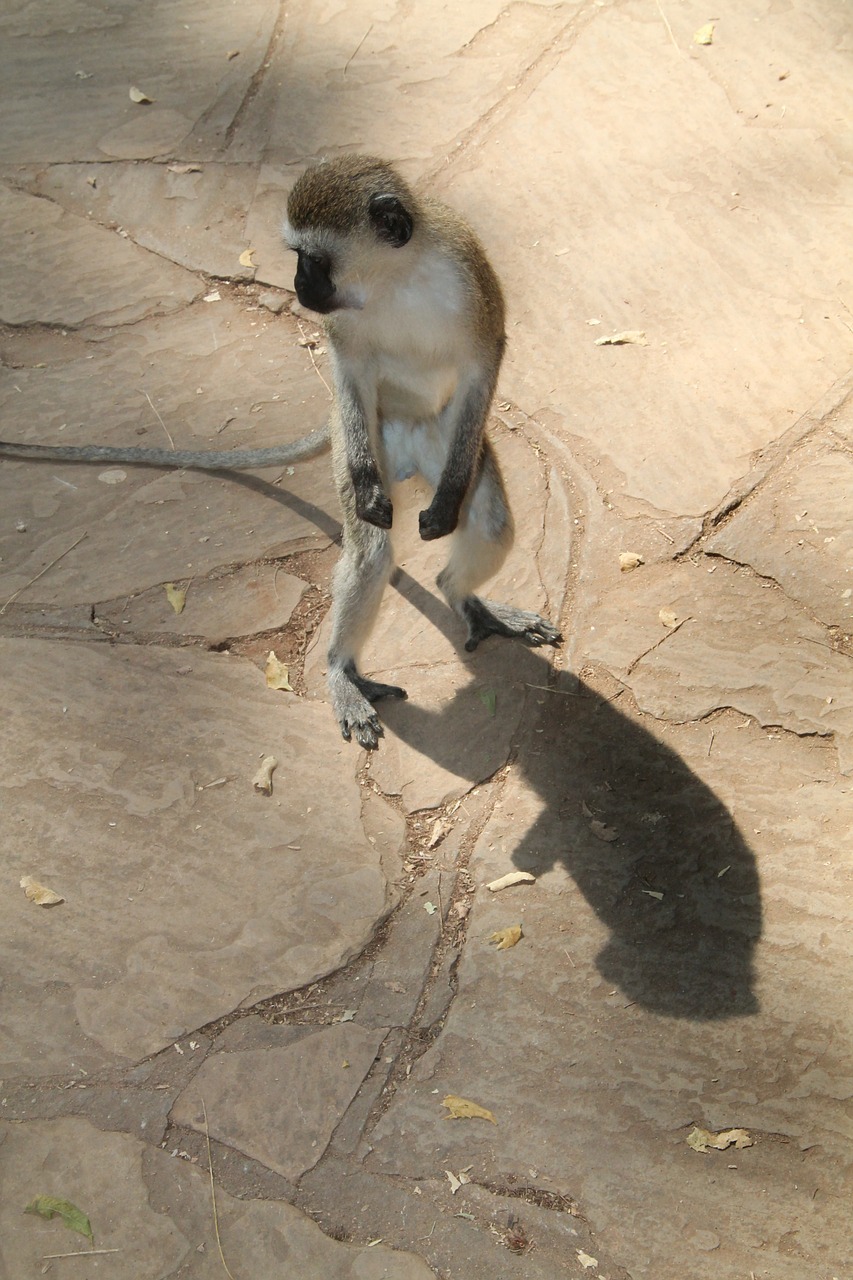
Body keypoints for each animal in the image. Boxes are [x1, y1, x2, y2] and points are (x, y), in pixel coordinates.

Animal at [0, 153, 560, 747]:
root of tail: (407, 449)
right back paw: (342, 670)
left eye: (312, 259)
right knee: (370, 552)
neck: (395, 278)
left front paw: (450, 498)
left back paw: (461, 594)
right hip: (365, 439)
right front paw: (369, 493)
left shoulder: (468, 275)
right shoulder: (349, 337)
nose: (297, 285)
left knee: (491, 523)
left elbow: (483, 363)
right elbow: (350, 370)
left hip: (442, 436)